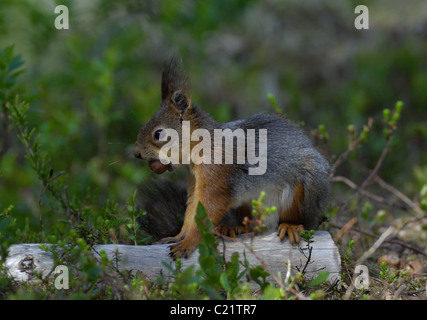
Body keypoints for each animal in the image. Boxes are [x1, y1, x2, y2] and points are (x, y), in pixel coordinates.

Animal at [134, 56, 332, 258]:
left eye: (158, 133)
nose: (136, 153)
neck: (203, 145)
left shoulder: (218, 173)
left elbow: (209, 209)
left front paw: (187, 243)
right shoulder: (195, 180)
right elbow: (192, 210)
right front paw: (178, 236)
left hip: (308, 188)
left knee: (307, 222)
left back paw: (291, 226)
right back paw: (233, 228)